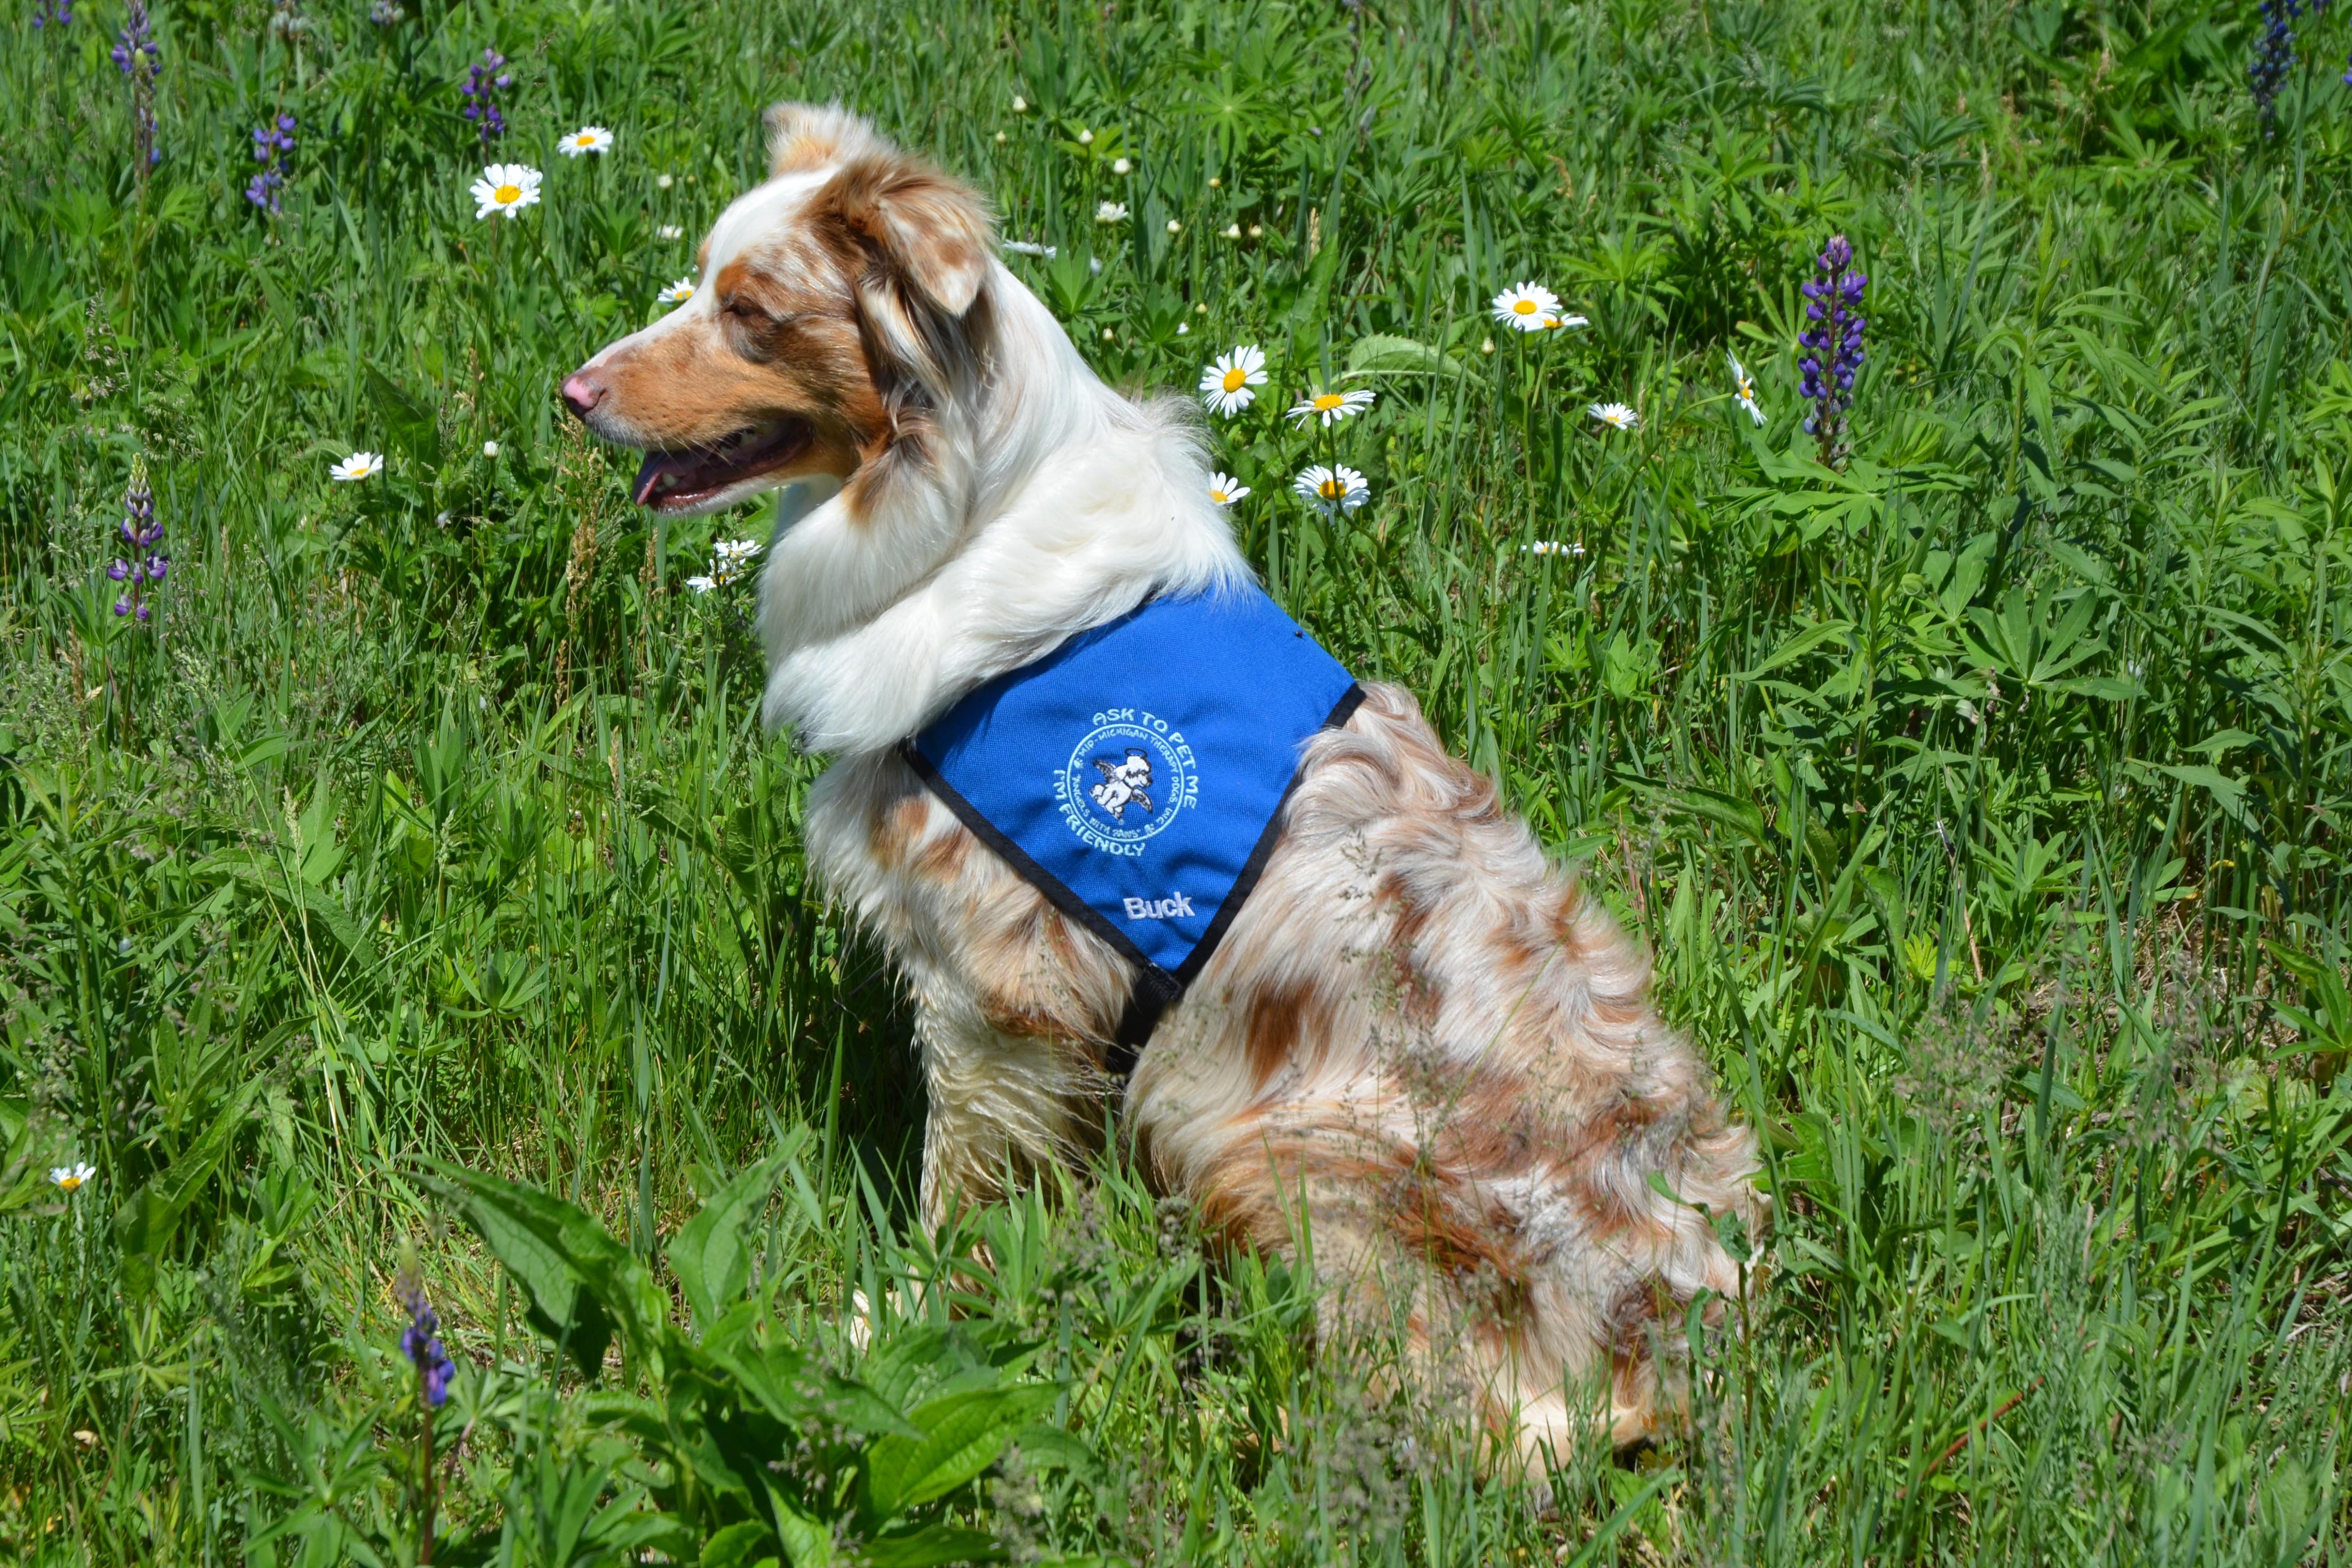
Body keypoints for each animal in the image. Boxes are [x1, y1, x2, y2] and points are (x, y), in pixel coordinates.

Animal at [555, 104, 1768, 1467]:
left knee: (1483, 1427)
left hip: (1275, 1146)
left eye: (751, 312)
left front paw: (904, 1332)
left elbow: (961, 1194)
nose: (571, 393)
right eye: (702, 282)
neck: (966, 517)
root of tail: (1678, 1340)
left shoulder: (1004, 994)